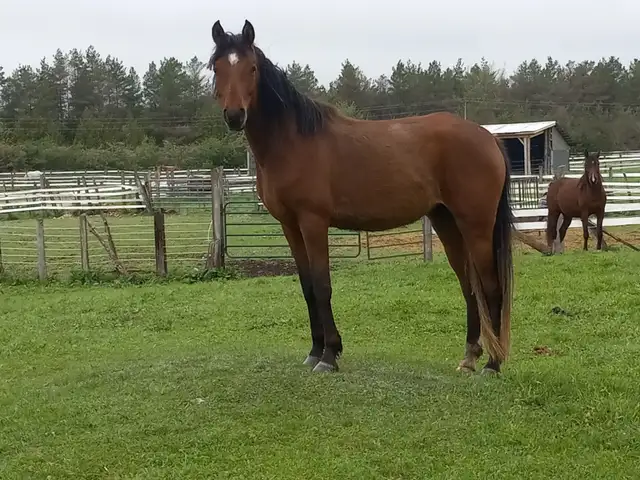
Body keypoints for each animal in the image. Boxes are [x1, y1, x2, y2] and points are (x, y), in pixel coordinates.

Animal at [209, 20, 514, 374]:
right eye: (217, 67)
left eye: (252, 68)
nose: (234, 115)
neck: (291, 141)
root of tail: (488, 137)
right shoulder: (289, 225)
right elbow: (307, 287)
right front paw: (315, 351)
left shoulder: (313, 222)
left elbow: (322, 285)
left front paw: (329, 356)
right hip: (447, 221)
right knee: (468, 285)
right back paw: (469, 357)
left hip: (476, 225)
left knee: (491, 286)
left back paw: (493, 364)